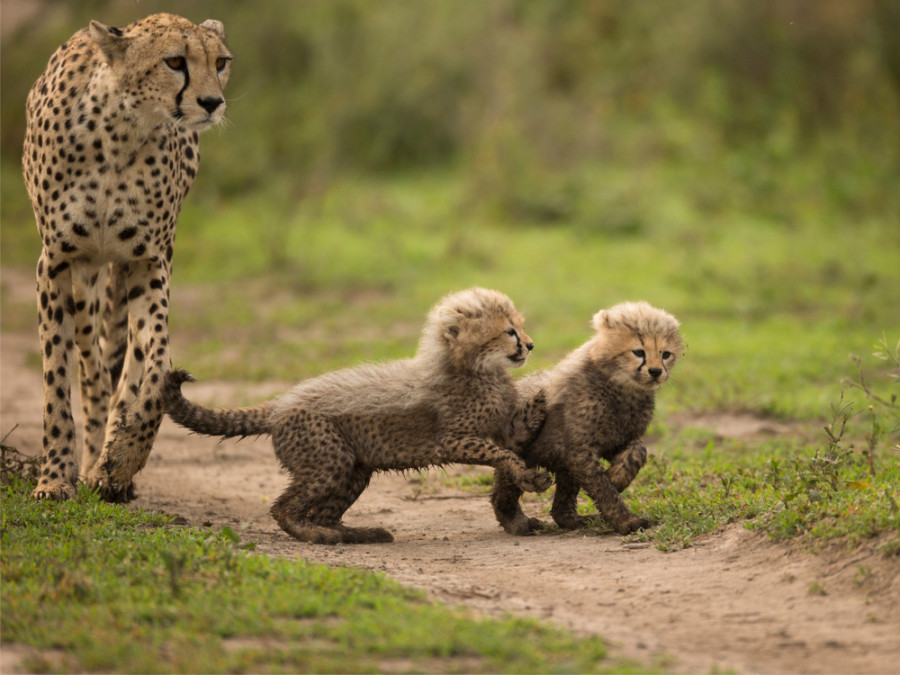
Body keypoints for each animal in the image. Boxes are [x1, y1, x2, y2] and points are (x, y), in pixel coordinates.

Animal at [22, 14, 232, 502]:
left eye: (220, 62)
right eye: (174, 62)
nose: (212, 102)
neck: (120, 132)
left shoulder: (150, 263)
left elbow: (154, 369)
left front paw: (123, 459)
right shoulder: (55, 262)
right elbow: (56, 377)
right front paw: (54, 478)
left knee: (125, 366)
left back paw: (107, 464)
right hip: (85, 277)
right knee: (92, 365)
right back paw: (89, 457)